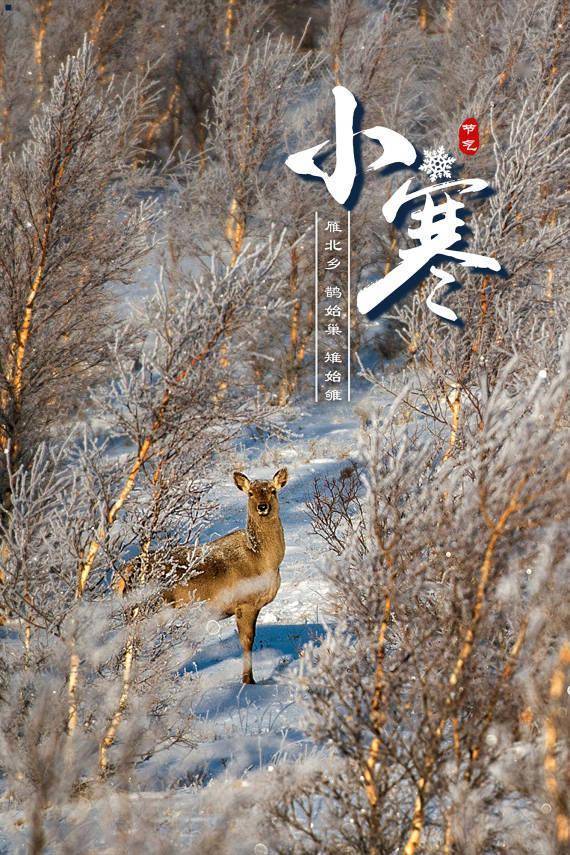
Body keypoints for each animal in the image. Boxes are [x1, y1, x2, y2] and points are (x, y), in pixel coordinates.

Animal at [113, 468, 286, 684]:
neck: (263, 559)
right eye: (250, 493)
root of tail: (124, 573)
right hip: (147, 608)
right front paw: (249, 681)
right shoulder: (245, 603)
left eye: (272, 491)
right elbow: (247, 641)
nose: (263, 507)